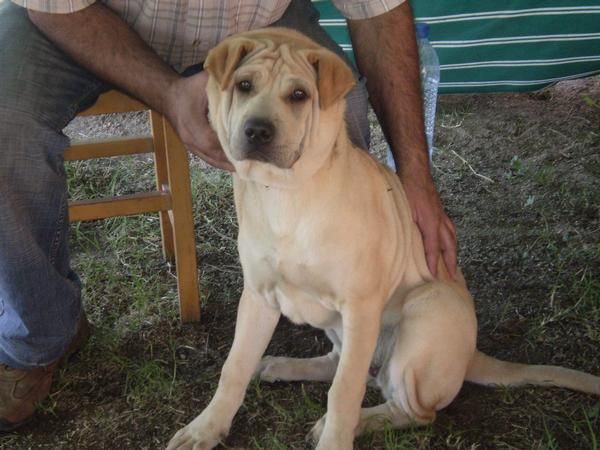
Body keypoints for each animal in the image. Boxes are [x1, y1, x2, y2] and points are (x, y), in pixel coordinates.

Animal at [165, 28, 600, 450]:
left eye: (299, 95)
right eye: (244, 85)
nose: (256, 130)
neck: (286, 194)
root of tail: (472, 355)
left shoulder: (359, 307)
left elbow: (344, 392)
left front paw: (335, 440)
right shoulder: (258, 296)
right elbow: (233, 368)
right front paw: (205, 429)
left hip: (427, 311)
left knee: (408, 408)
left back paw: (350, 423)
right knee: (341, 364)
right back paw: (283, 366)